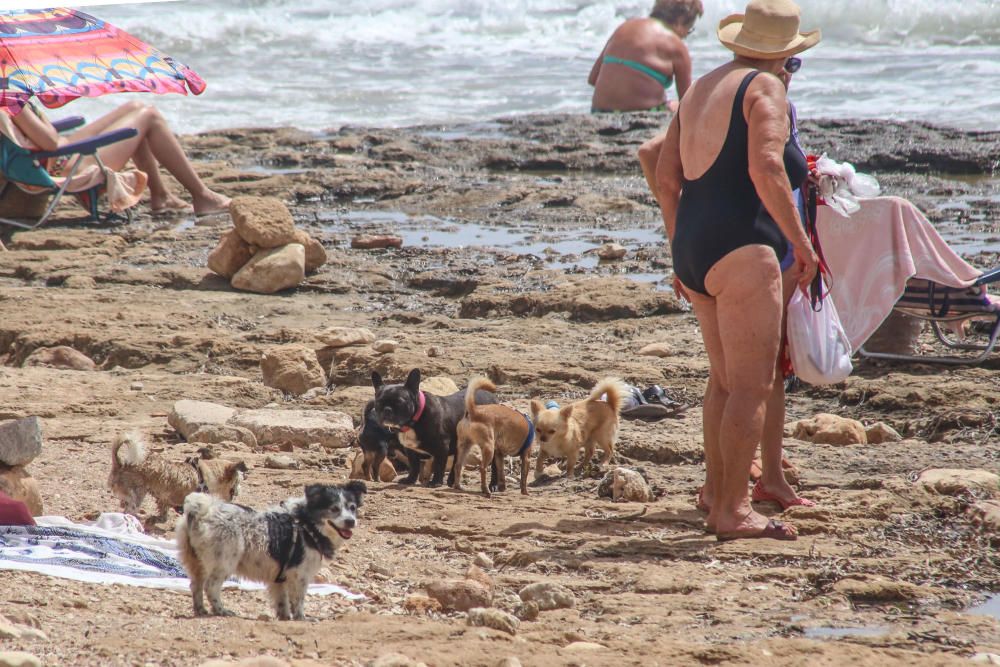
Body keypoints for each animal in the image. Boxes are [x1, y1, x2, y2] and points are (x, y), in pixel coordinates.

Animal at [107, 430, 248, 524]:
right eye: (238, 480)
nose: (240, 489)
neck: (205, 473)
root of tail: (121, 465)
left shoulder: (163, 498)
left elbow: (164, 510)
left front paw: (160, 519)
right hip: (137, 496)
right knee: (128, 511)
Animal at [176, 480, 368, 620]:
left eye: (352, 507)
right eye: (334, 509)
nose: (351, 521)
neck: (307, 524)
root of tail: (203, 511)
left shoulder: (280, 577)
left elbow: (282, 601)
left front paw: (285, 618)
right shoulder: (300, 574)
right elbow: (298, 600)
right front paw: (302, 618)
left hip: (195, 562)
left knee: (196, 585)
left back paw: (201, 610)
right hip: (224, 561)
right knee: (210, 587)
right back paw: (221, 610)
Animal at [370, 368, 498, 488]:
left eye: (399, 402)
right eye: (378, 402)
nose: (387, 409)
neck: (414, 422)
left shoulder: (442, 447)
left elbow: (439, 466)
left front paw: (436, 482)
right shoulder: (410, 450)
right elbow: (414, 466)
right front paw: (410, 480)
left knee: (495, 463)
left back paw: (494, 485)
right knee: (457, 460)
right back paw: (452, 481)